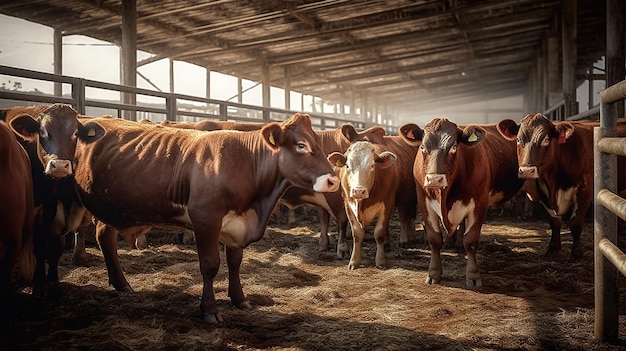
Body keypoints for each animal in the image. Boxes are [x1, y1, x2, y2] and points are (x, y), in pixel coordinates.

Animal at [13, 113, 336, 324]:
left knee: (104, 235)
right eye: (301, 145)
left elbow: (235, 263)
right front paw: (209, 311)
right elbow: (210, 266)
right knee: (47, 244)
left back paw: (121, 284)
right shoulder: (206, 219)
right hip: (50, 202)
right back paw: (45, 289)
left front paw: (239, 299)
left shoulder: (236, 224)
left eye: (318, 144)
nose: (333, 180)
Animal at [400, 119, 520, 288]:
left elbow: (470, 240)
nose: (434, 179)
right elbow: (434, 239)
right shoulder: (424, 203)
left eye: (454, 147)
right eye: (422, 147)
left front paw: (473, 276)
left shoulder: (479, 204)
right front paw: (433, 274)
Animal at [498, 113, 624, 262]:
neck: (555, 183)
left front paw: (576, 253)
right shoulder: (544, 192)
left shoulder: (584, 192)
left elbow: (575, 223)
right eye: (518, 140)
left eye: (546, 140)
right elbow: (554, 222)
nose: (527, 171)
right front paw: (553, 250)